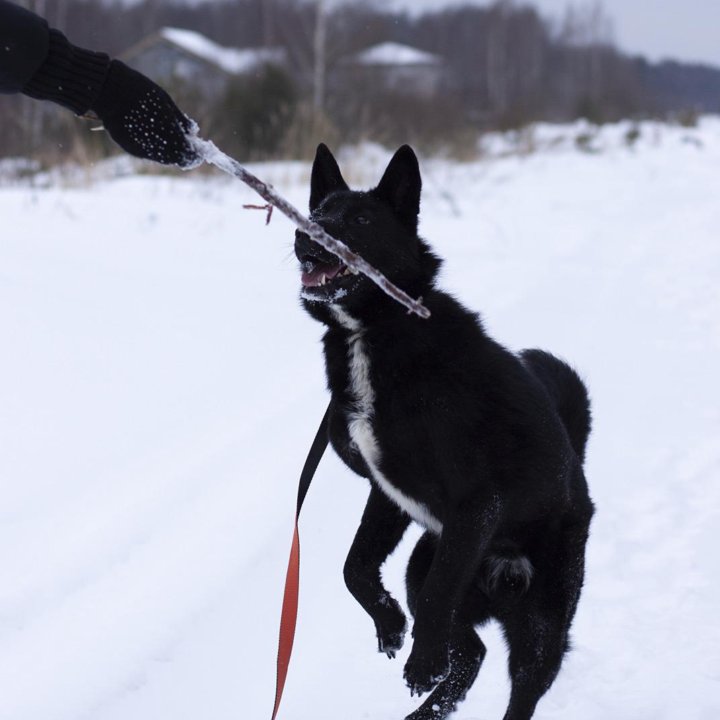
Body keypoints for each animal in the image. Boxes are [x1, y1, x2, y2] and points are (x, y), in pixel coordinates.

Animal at [296, 142, 592, 720]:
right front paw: (390, 623)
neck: (377, 332)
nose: (306, 236)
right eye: (320, 211)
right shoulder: (387, 492)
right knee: (471, 651)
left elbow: (433, 595)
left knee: (520, 684)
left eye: (360, 220)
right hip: (427, 560)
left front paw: (421, 661)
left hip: (539, 622)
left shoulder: (479, 501)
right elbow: (354, 565)